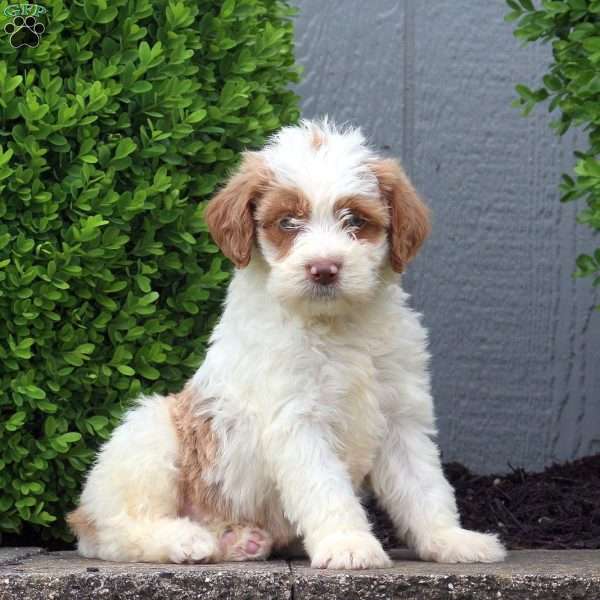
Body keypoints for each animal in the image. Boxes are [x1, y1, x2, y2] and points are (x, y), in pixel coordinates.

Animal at [68, 118, 504, 568]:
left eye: (355, 220)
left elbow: (425, 487)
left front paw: (450, 539)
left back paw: (237, 541)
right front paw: (348, 543)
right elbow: (326, 490)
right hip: (148, 434)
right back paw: (185, 539)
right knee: (118, 530)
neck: (337, 324)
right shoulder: (297, 420)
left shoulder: (402, 418)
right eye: (288, 223)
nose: (324, 269)